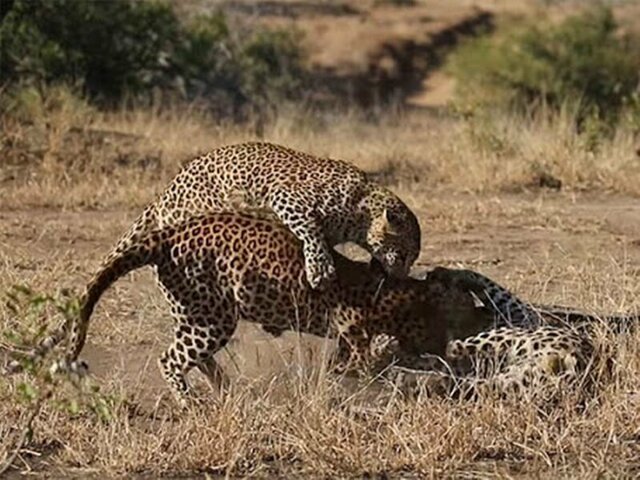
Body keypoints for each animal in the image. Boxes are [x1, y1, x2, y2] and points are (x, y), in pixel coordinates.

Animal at [108, 141, 422, 288]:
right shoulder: (287, 197)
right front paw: (320, 270)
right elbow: (312, 231)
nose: (401, 278)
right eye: (404, 256)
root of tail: (164, 192)